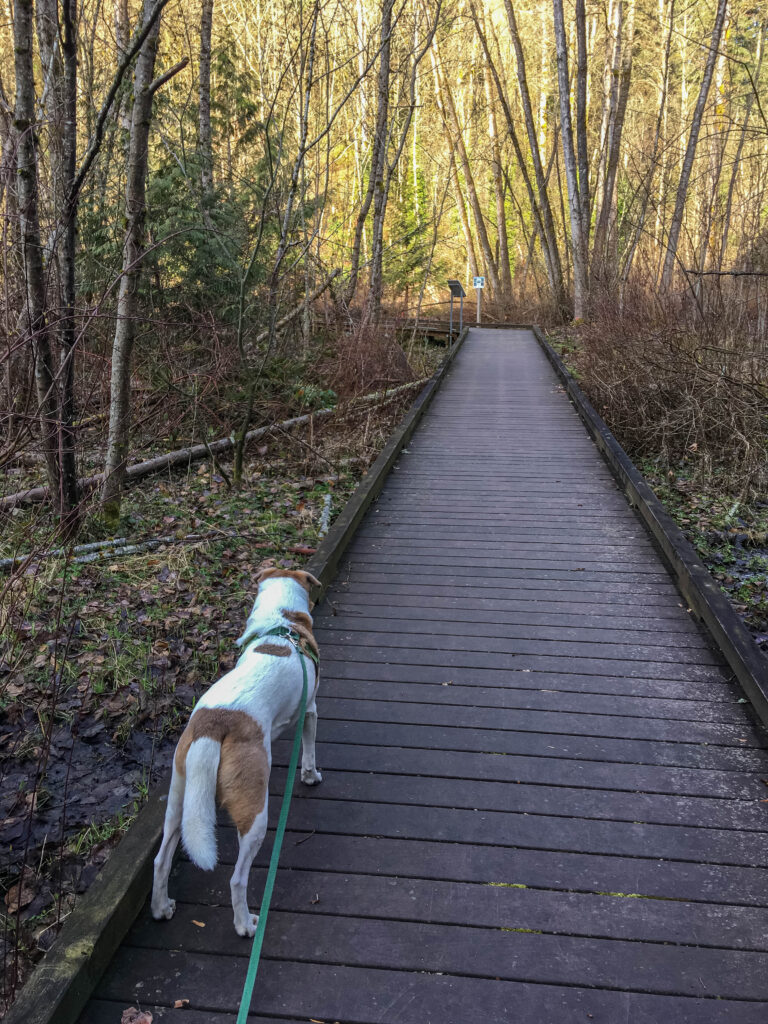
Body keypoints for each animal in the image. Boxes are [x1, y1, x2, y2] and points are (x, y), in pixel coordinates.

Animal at [150, 569, 321, 937]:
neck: (282, 619)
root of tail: (214, 723)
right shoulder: (311, 710)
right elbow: (310, 751)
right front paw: (311, 776)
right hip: (254, 815)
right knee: (237, 879)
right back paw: (246, 925)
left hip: (179, 798)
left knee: (161, 859)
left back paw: (161, 908)